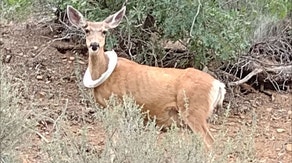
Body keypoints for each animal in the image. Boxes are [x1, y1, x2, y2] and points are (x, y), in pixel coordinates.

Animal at [68, 5, 226, 147]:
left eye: (104, 31)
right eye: (86, 30)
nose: (94, 45)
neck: (104, 73)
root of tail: (218, 85)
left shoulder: (116, 104)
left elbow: (115, 140)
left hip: (194, 110)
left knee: (210, 142)